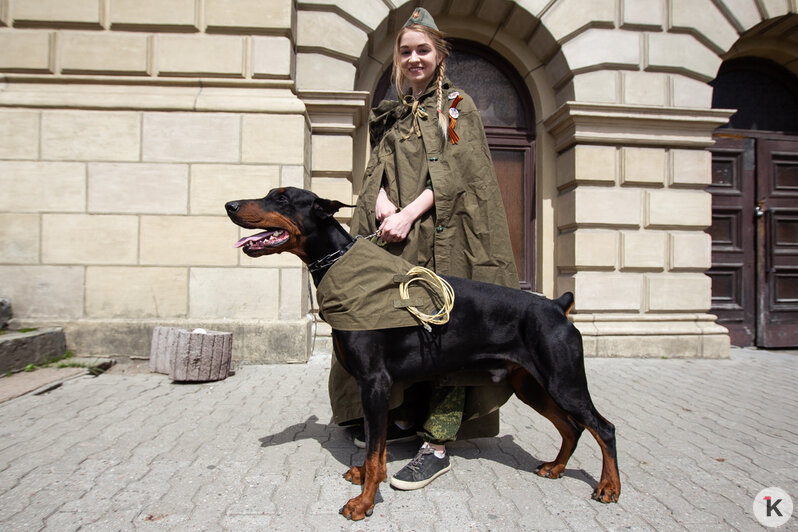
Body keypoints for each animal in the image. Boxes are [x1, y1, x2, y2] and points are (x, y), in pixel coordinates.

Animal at [228, 186, 620, 520]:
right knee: (572, 427)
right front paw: (366, 477)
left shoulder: (374, 382)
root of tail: (556, 305)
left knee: (603, 427)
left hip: (563, 380)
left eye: (282, 198)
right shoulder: (377, 387)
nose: (230, 205)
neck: (342, 267)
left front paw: (364, 503)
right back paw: (555, 467)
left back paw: (608, 487)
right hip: (531, 385)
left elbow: (374, 451)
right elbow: (377, 443)